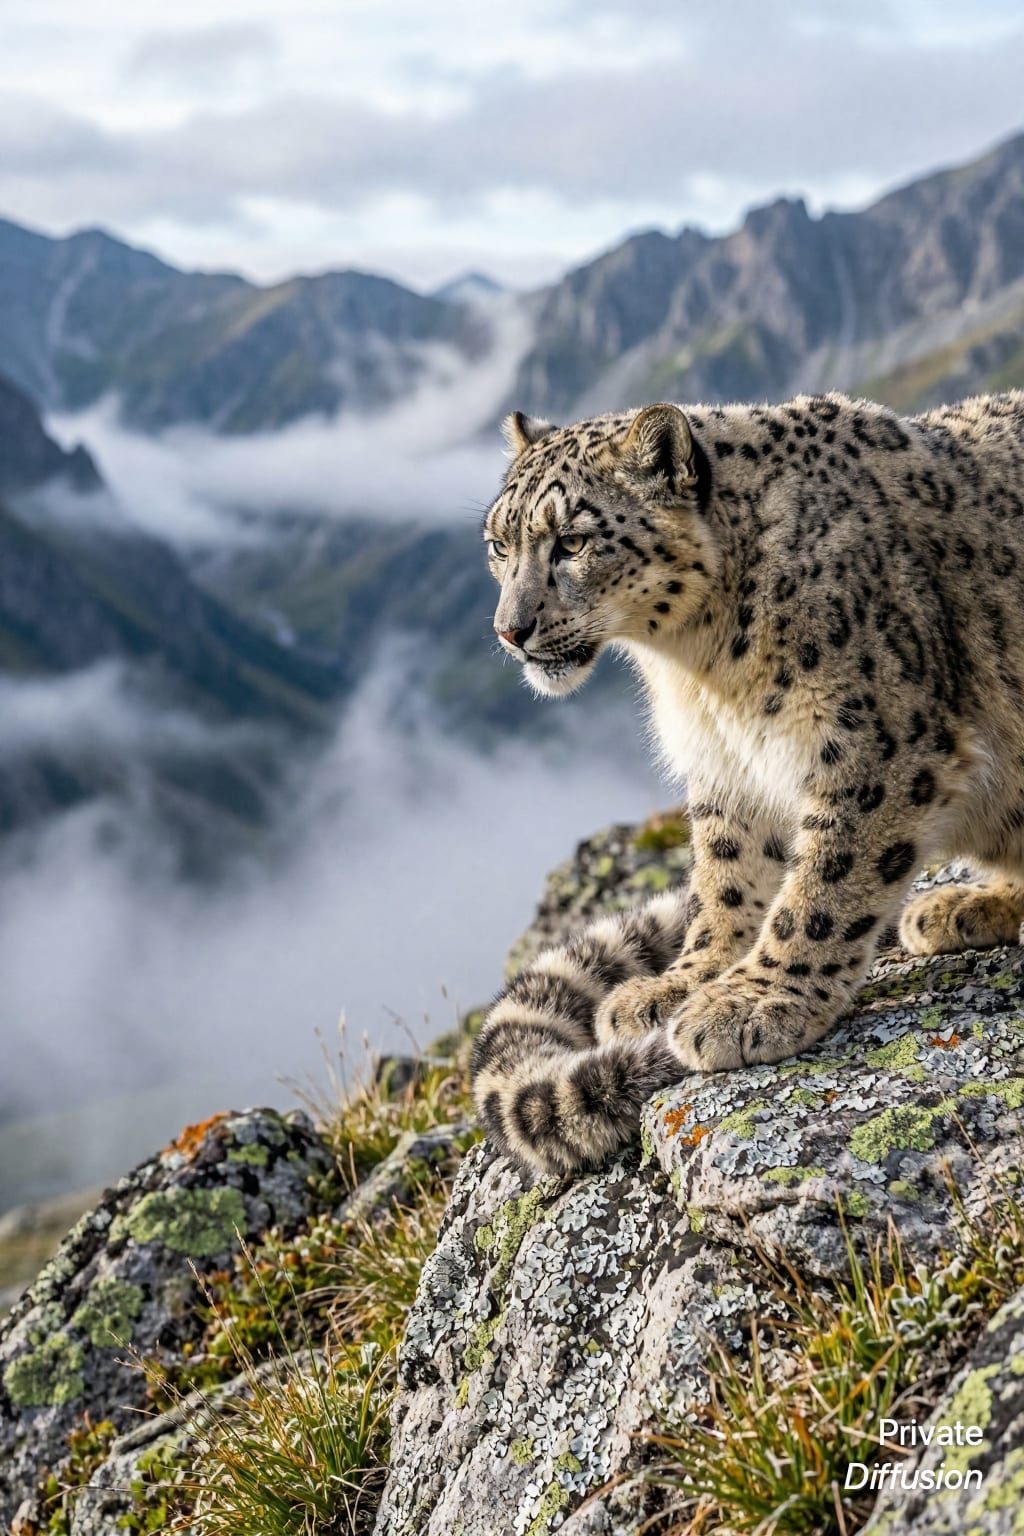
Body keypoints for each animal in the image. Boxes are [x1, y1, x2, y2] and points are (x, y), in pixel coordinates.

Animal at [471, 390, 1024, 1177]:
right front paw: (684, 981)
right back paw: (959, 907)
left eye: (571, 542)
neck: (702, 667)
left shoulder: (878, 743)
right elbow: (725, 879)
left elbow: (825, 886)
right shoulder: (726, 767)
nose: (510, 631)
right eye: (498, 545)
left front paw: (756, 1002)